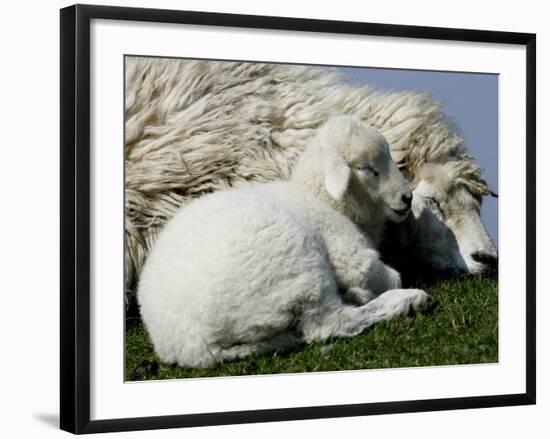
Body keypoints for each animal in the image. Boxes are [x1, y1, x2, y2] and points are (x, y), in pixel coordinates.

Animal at [138, 114, 436, 368]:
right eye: (368, 169)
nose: (407, 198)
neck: (326, 201)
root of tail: (194, 346)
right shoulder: (348, 252)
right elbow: (385, 274)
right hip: (297, 265)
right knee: (329, 325)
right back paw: (408, 300)